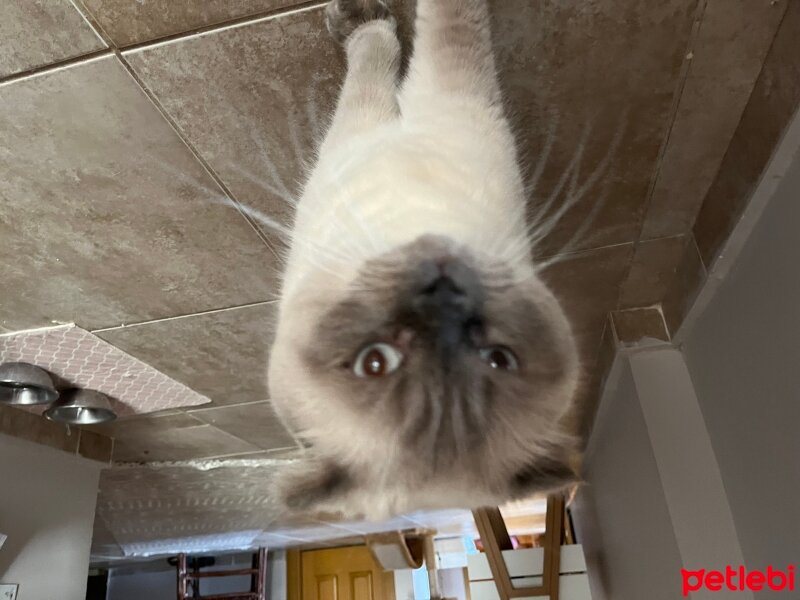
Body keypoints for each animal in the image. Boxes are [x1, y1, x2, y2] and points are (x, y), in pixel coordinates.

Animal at [268, 0, 580, 516]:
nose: (442, 290)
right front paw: (360, 17)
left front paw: (359, 17)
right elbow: (406, 39)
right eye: (374, 363)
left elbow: (406, 37)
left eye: (498, 358)